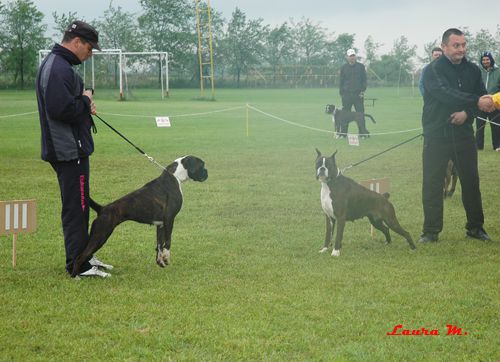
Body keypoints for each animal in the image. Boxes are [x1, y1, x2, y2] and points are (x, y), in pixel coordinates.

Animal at [70, 156, 207, 278]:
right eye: (202, 165)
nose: (207, 173)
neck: (175, 175)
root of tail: (102, 209)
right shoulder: (169, 219)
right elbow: (168, 242)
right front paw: (167, 258)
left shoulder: (160, 224)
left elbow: (159, 244)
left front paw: (160, 261)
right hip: (100, 235)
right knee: (80, 257)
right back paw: (75, 276)